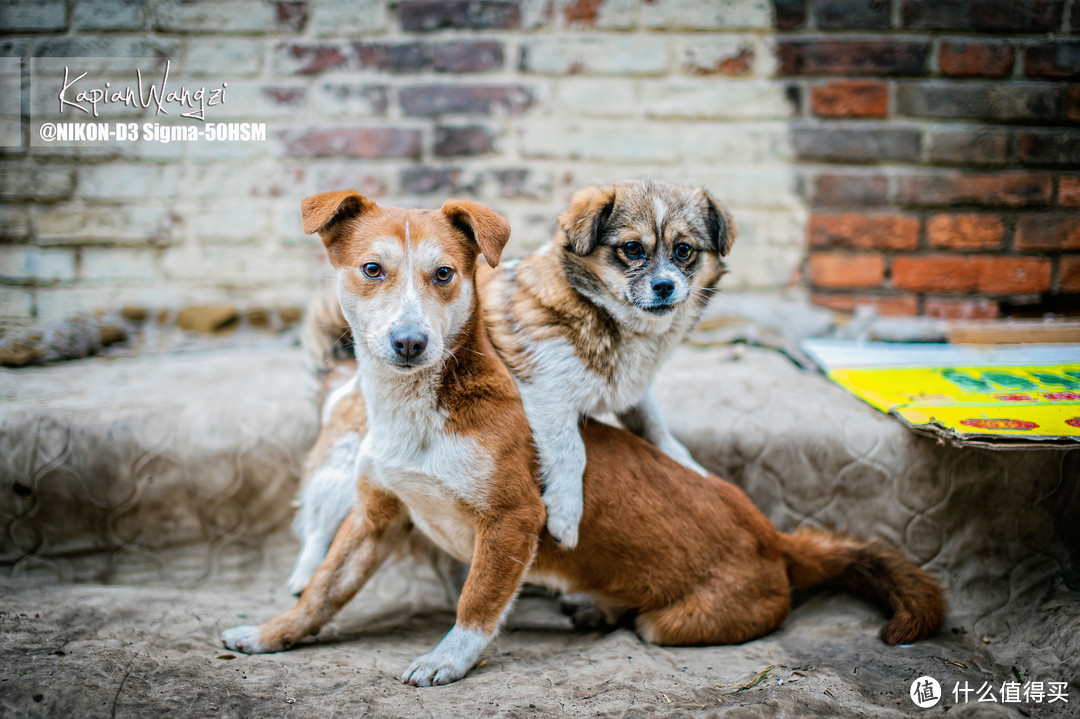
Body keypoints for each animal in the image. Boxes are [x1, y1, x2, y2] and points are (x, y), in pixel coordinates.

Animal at [221, 190, 946, 682]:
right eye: (373, 269)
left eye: (444, 274)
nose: (409, 342)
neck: (421, 412)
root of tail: (781, 541)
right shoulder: (376, 515)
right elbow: (324, 592)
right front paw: (273, 633)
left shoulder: (513, 519)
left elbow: (477, 601)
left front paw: (448, 659)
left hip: (668, 622)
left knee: (643, 619)